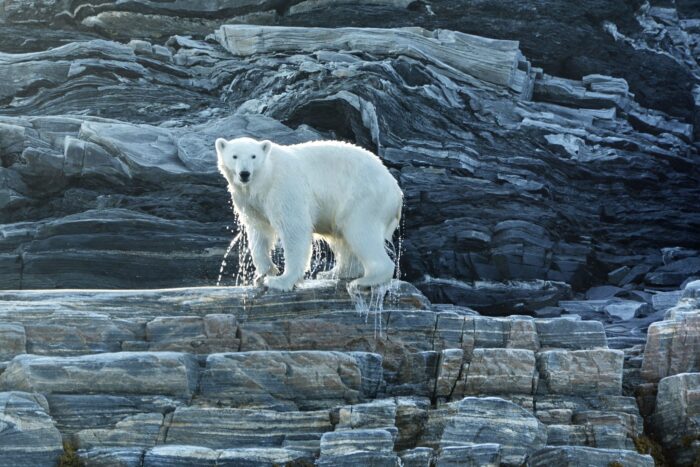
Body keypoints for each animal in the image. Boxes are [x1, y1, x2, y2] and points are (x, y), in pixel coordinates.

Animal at [217, 135, 404, 290]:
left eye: (253, 156)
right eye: (234, 156)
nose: (244, 173)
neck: (264, 179)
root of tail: (396, 191)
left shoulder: (284, 188)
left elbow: (294, 228)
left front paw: (281, 281)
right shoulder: (250, 201)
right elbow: (259, 231)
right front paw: (265, 272)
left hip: (364, 198)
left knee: (361, 232)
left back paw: (365, 280)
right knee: (342, 237)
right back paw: (333, 272)